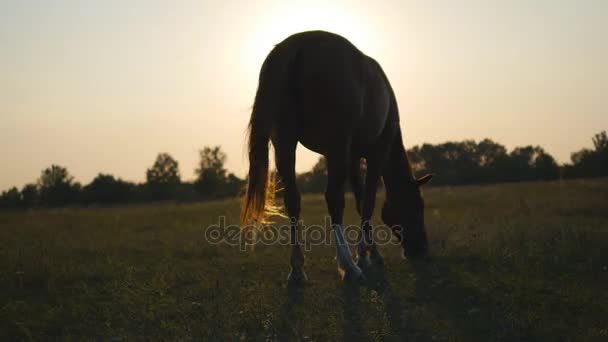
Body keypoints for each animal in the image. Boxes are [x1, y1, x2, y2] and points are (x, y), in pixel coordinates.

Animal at [241, 31, 432, 284]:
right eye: (418, 205)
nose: (421, 250)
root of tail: (297, 46)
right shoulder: (376, 154)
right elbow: (368, 201)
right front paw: (364, 255)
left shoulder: (352, 158)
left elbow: (360, 201)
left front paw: (370, 252)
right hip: (335, 146)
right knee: (333, 198)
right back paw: (348, 266)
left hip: (285, 142)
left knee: (293, 200)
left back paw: (297, 269)